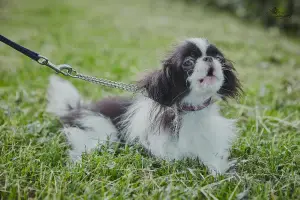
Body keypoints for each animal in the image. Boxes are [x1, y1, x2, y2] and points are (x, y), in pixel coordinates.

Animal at [48, 37, 243, 175]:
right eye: (188, 62)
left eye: (219, 58)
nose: (209, 58)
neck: (192, 112)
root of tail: (76, 109)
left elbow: (215, 162)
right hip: (103, 130)